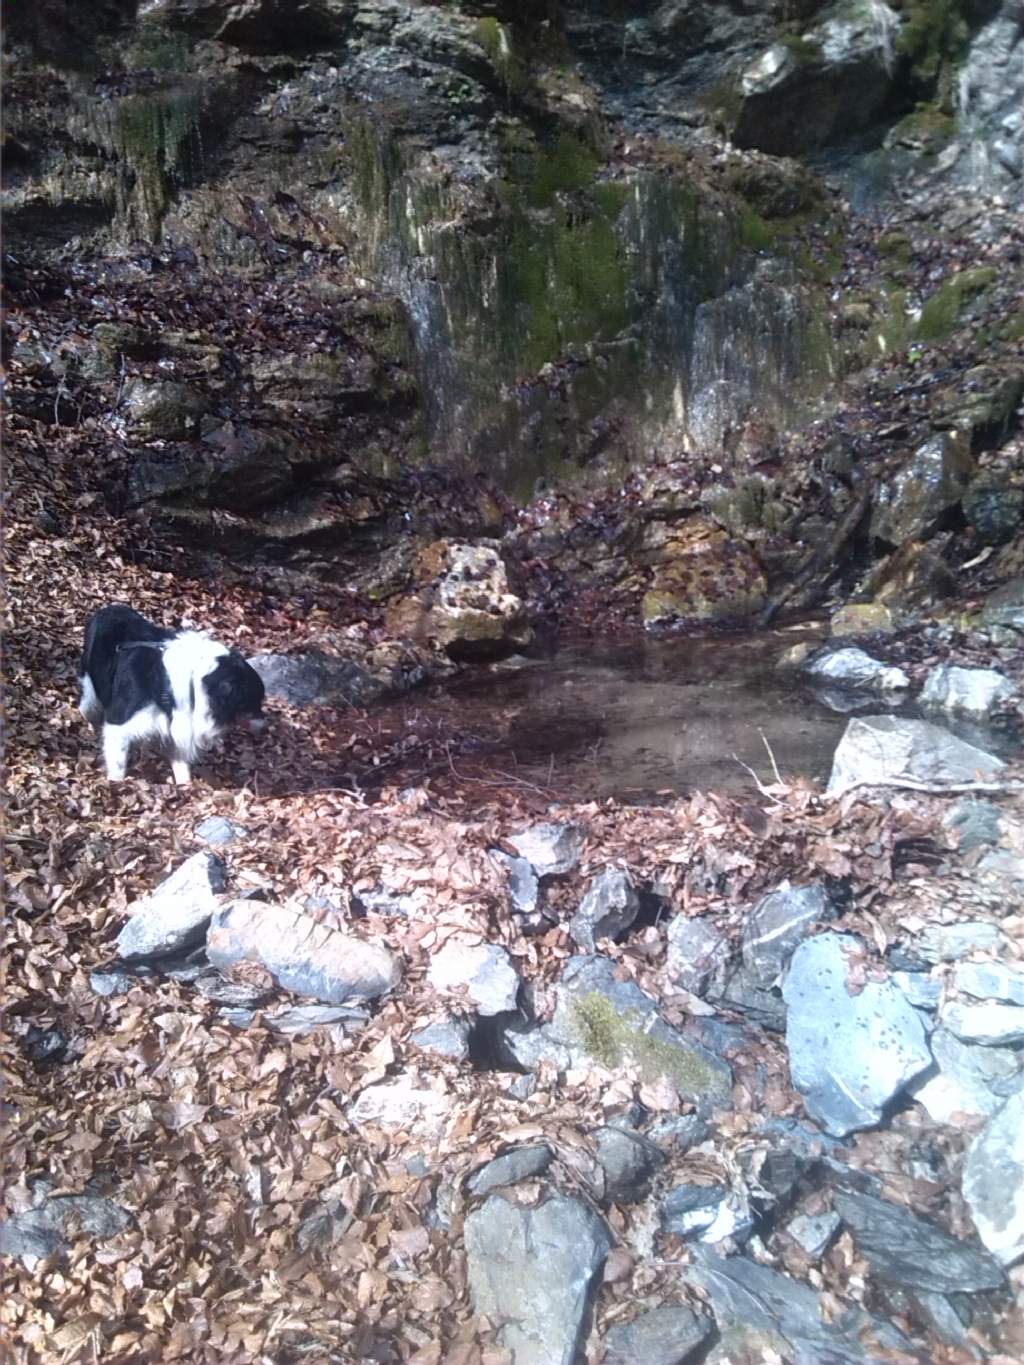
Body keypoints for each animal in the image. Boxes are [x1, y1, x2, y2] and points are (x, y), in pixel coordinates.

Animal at [78, 606, 266, 786]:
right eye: (253, 702)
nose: (266, 727)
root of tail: (108, 608)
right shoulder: (118, 724)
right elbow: (117, 764)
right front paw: (116, 783)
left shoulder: (179, 724)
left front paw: (185, 786)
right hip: (89, 689)